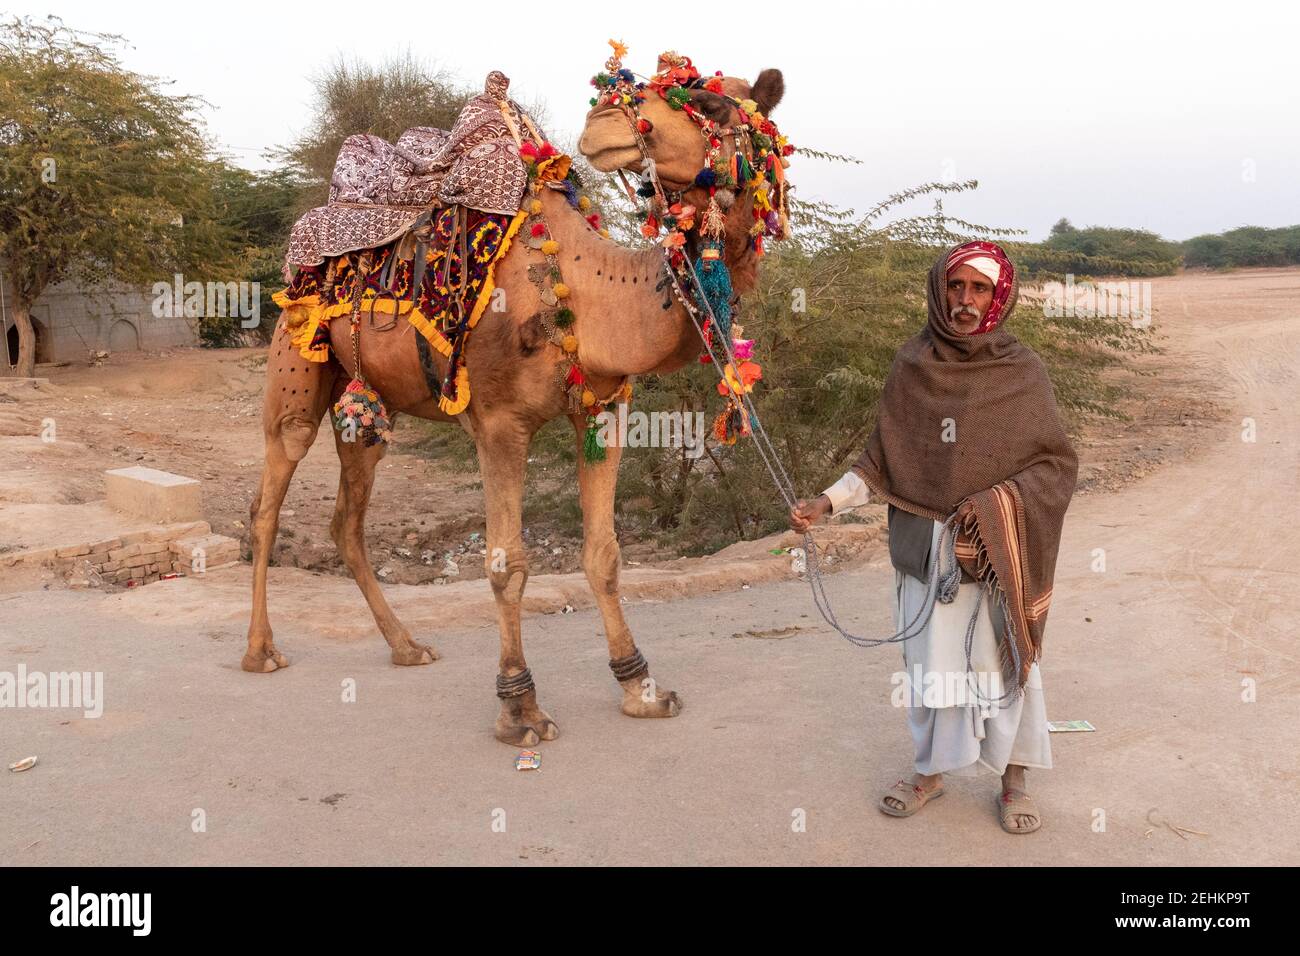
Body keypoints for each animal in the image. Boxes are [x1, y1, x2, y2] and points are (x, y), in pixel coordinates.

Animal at [243, 46, 790, 749]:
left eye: (714, 103)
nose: (605, 122)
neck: (584, 291)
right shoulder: (499, 422)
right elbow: (507, 562)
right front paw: (520, 708)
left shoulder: (603, 411)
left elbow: (605, 554)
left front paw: (640, 687)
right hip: (294, 354)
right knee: (268, 498)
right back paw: (261, 650)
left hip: (368, 401)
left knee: (347, 517)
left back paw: (407, 645)